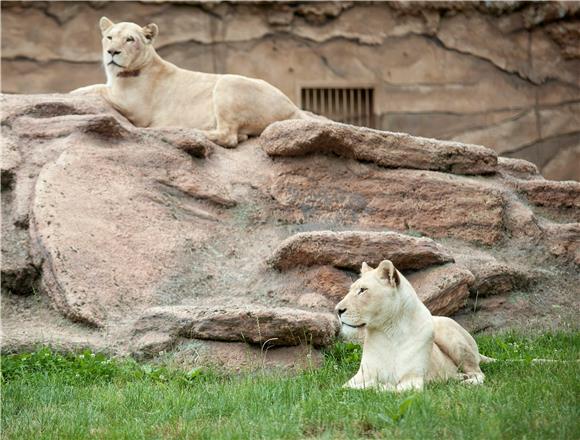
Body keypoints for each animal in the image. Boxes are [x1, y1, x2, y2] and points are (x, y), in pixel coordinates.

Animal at [72, 17, 312, 148]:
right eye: (109, 37)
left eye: (130, 39)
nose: (112, 52)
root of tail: (293, 106)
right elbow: (99, 87)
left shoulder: (136, 107)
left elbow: (97, 89)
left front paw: (74, 93)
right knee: (238, 135)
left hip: (228, 83)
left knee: (229, 136)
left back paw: (191, 131)